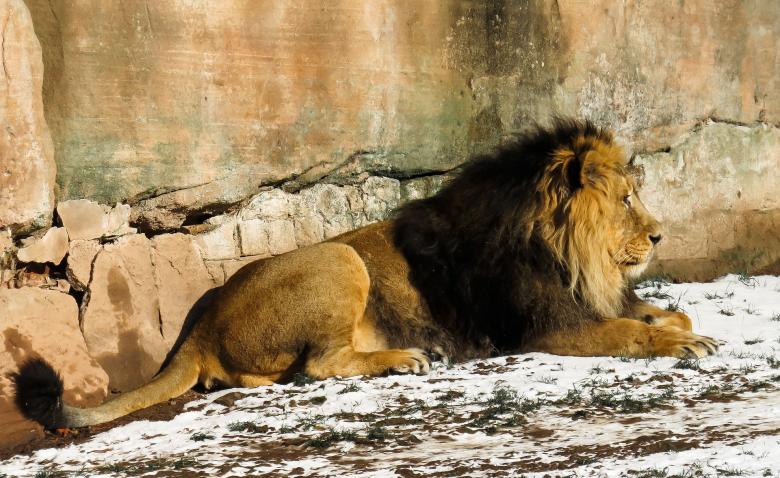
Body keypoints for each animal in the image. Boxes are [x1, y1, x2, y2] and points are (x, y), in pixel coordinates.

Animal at [13, 119, 717, 429]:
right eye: (626, 199)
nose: (660, 235)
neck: (567, 253)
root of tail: (200, 325)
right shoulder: (547, 330)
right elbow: (631, 333)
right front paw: (680, 343)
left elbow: (666, 310)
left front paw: (684, 327)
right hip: (340, 259)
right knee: (319, 365)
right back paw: (408, 358)